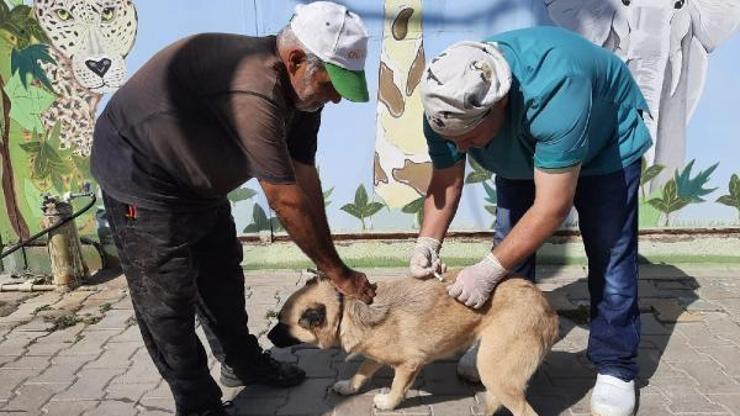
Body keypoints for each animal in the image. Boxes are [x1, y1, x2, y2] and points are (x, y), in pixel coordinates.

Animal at [268, 272, 556, 416]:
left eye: (282, 323)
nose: (267, 338)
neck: (344, 311)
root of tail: (547, 308)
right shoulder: (375, 356)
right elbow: (362, 372)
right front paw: (349, 387)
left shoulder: (409, 364)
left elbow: (397, 388)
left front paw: (387, 403)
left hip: (494, 371)